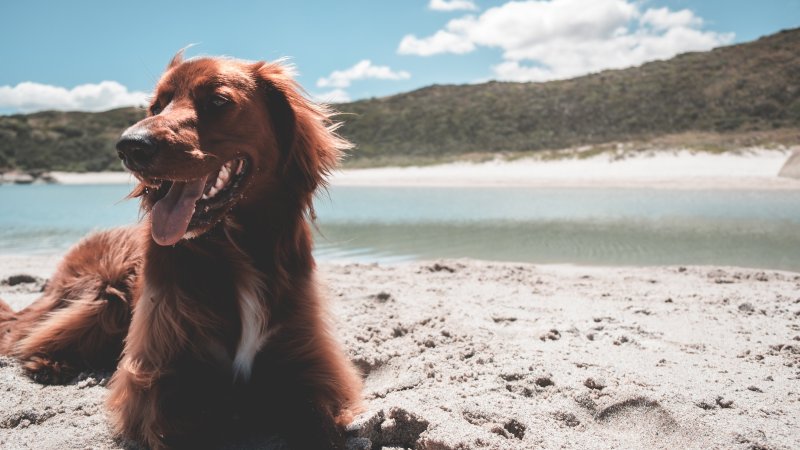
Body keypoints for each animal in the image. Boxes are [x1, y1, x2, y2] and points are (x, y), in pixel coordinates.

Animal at [0, 51, 360, 446]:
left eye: (217, 101)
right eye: (156, 106)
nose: (130, 146)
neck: (234, 247)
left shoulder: (311, 366)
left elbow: (321, 425)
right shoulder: (155, 377)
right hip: (103, 294)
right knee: (29, 332)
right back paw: (49, 363)